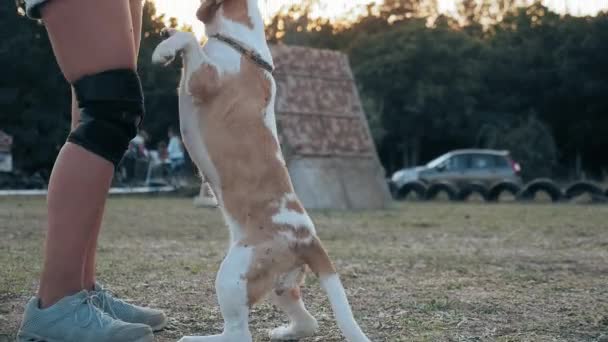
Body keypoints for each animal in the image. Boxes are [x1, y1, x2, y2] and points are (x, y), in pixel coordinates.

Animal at [151, 1, 370, 340]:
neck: (239, 43)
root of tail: (308, 238)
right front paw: (168, 35)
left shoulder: (205, 78)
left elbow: (190, 39)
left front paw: (165, 48)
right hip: (279, 286)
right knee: (308, 322)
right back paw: (284, 331)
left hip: (231, 274)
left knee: (239, 334)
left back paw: (197, 337)